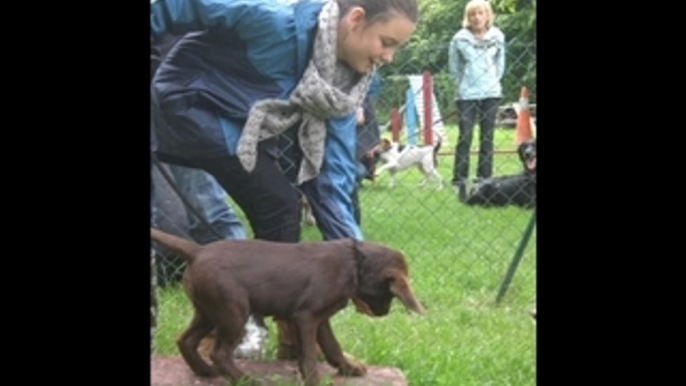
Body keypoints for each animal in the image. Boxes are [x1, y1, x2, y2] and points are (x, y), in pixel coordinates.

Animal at [152, 228, 424, 384]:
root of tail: (197, 251)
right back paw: (246, 380)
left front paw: (349, 368)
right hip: (233, 311)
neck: (354, 263)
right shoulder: (306, 317)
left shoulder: (320, 319)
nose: (383, 313)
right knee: (219, 353)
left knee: (186, 340)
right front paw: (314, 381)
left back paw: (205, 372)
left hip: (208, 310)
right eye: (390, 294)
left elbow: (332, 348)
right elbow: (310, 356)